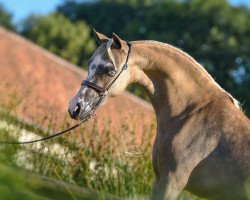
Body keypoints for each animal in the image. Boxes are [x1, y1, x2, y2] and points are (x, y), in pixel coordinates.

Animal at [67, 29, 249, 200]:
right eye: (90, 63)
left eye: (110, 71)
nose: (75, 107)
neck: (193, 113)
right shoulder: (159, 179)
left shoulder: (172, 181)